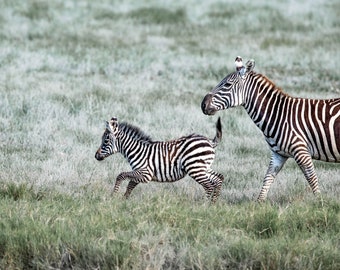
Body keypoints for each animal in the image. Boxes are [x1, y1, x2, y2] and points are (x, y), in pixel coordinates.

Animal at [94, 117, 224, 201]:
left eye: (105, 140)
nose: (96, 156)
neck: (135, 150)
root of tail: (209, 141)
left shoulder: (145, 173)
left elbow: (121, 175)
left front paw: (113, 195)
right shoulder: (140, 173)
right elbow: (130, 184)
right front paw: (124, 199)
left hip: (195, 168)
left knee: (209, 185)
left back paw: (204, 206)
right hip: (203, 167)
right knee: (219, 179)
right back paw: (213, 205)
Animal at [201, 56, 338, 200]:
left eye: (227, 85)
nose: (203, 105)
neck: (279, 114)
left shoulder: (301, 150)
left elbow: (312, 179)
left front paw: (320, 202)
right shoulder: (278, 154)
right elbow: (268, 178)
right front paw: (259, 203)